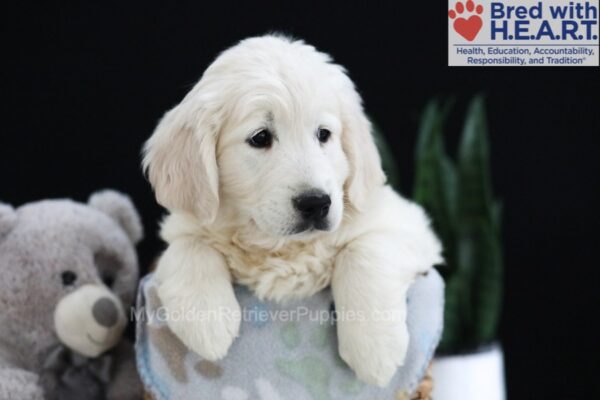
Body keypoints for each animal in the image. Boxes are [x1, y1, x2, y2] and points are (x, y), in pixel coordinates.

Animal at [141, 35, 440, 388]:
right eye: (260, 137)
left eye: (324, 134)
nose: (316, 203)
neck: (281, 248)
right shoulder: (186, 223)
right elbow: (189, 246)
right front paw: (206, 323)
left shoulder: (409, 225)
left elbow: (363, 251)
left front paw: (375, 350)